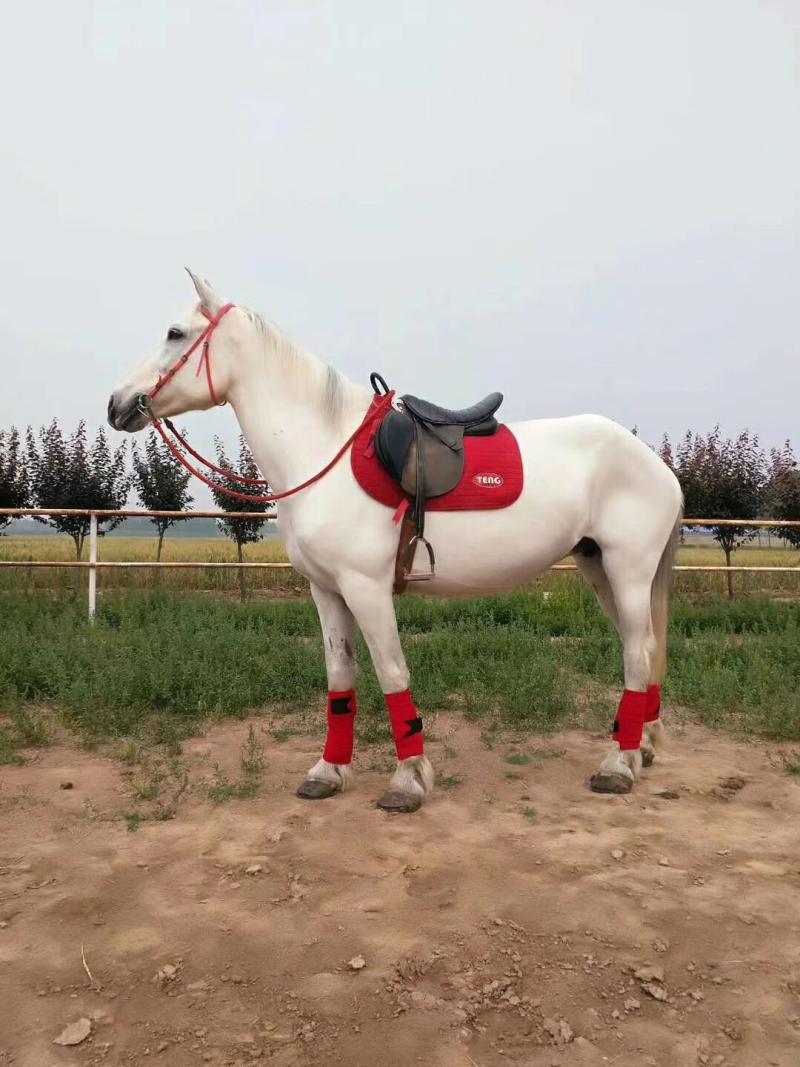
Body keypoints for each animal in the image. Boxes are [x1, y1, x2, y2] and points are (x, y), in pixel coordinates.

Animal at [108, 270, 683, 813]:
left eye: (175, 333)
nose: (116, 405)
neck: (324, 452)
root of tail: (656, 465)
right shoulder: (326, 590)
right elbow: (341, 677)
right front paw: (328, 772)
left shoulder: (366, 588)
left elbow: (390, 673)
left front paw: (407, 780)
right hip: (599, 568)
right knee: (643, 650)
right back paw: (640, 745)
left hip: (628, 572)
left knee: (638, 655)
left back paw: (618, 766)